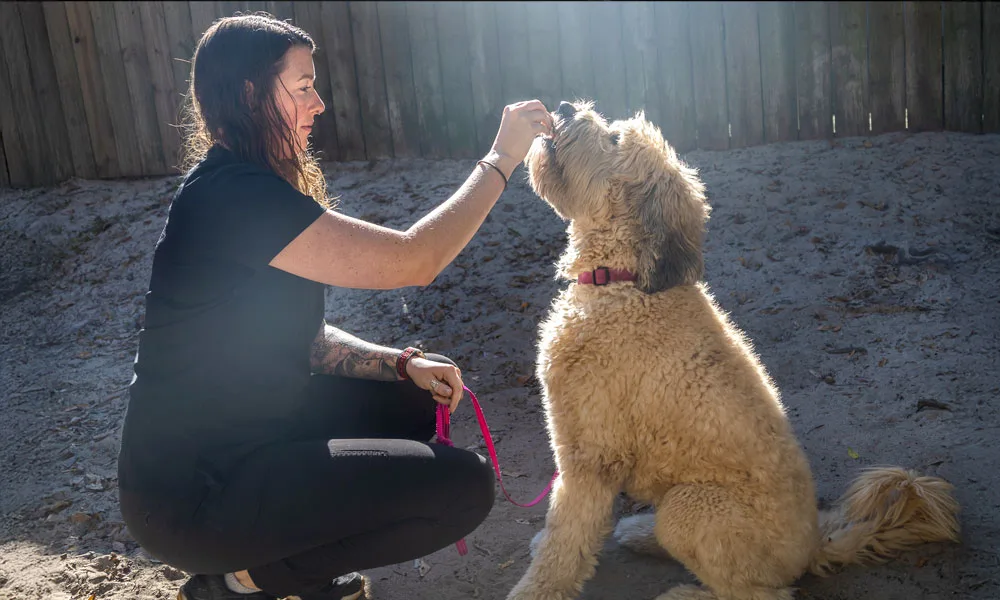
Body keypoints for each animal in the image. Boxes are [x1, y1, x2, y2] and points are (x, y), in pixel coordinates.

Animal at [508, 99, 960, 600]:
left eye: (612, 139)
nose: (564, 106)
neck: (623, 285)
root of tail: (814, 546)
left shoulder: (589, 456)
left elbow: (565, 539)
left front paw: (534, 587)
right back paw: (641, 533)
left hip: (691, 506)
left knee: (761, 593)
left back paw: (683, 591)